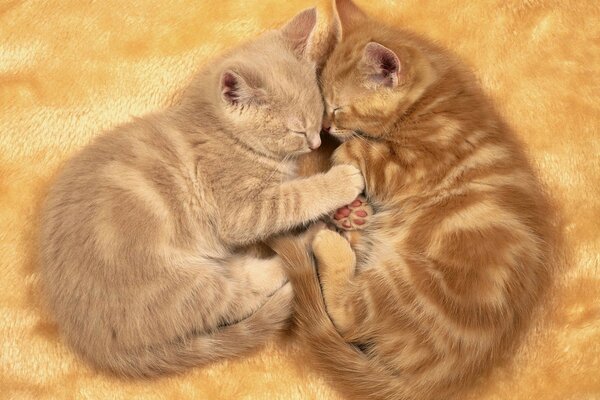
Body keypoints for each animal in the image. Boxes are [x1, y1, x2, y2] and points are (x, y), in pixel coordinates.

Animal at [39, 9, 366, 378]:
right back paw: (305, 248)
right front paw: (341, 180)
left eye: (319, 114)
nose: (314, 142)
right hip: (181, 284)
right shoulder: (242, 209)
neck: (221, 133)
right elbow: (297, 195)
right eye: (296, 130)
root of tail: (91, 343)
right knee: (240, 294)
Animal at [270, 1, 556, 398]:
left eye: (337, 108)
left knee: (349, 315)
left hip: (404, 283)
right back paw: (352, 219)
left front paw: (343, 157)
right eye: (323, 103)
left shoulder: (410, 167)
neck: (432, 98)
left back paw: (332, 241)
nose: (326, 127)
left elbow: (358, 150)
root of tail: (437, 379)